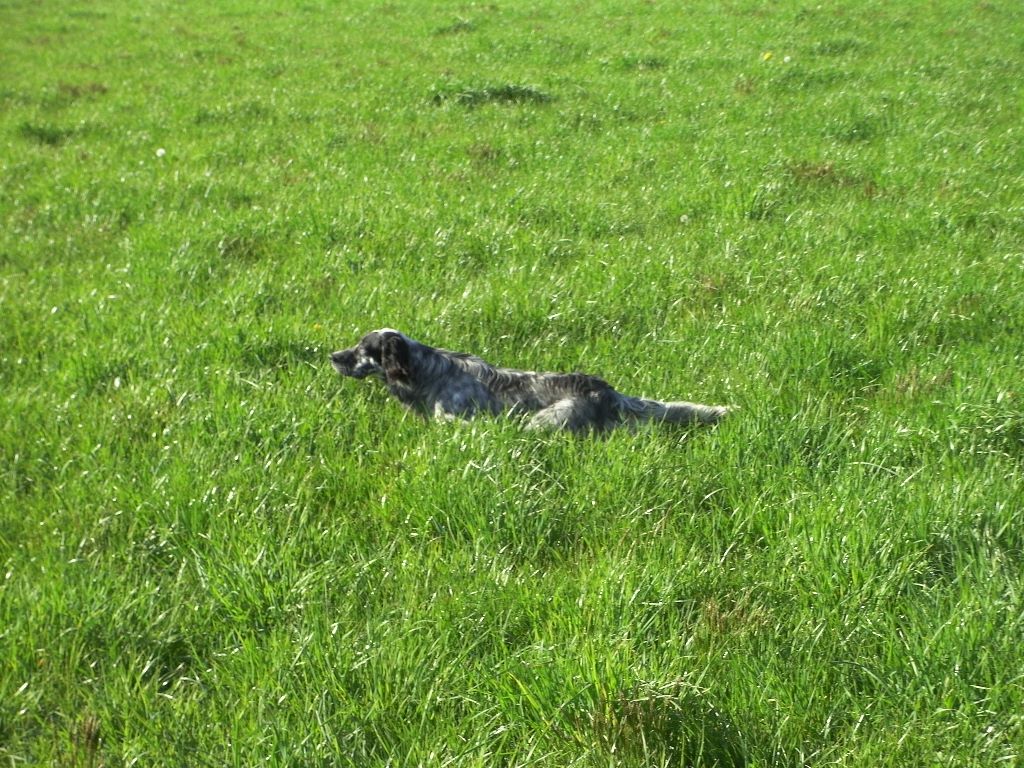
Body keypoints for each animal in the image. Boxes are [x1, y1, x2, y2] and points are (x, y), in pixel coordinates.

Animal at [329, 327, 729, 434]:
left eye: (363, 348)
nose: (333, 357)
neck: (428, 370)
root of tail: (605, 390)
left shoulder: (457, 419)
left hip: (542, 421)